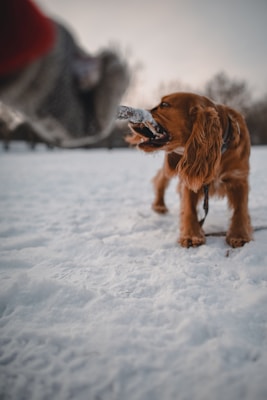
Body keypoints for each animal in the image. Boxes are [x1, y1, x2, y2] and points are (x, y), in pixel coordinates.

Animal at [127, 92, 253, 247]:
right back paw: (159, 205)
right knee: (160, 179)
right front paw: (192, 235)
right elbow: (189, 208)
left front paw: (239, 235)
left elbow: (240, 209)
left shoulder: (239, 179)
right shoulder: (191, 181)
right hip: (171, 166)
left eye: (164, 105)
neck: (220, 150)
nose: (132, 113)